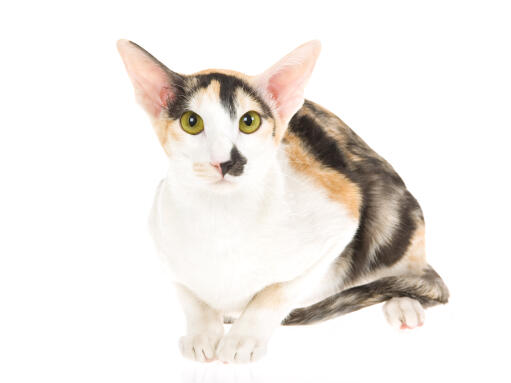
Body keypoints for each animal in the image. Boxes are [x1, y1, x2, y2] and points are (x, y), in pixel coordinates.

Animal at [118, 39, 450, 366]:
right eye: (191, 122)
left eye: (249, 122)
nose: (226, 162)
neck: (221, 216)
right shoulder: (160, 234)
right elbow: (189, 293)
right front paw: (203, 333)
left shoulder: (342, 218)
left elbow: (277, 292)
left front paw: (243, 338)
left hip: (391, 215)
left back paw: (404, 304)